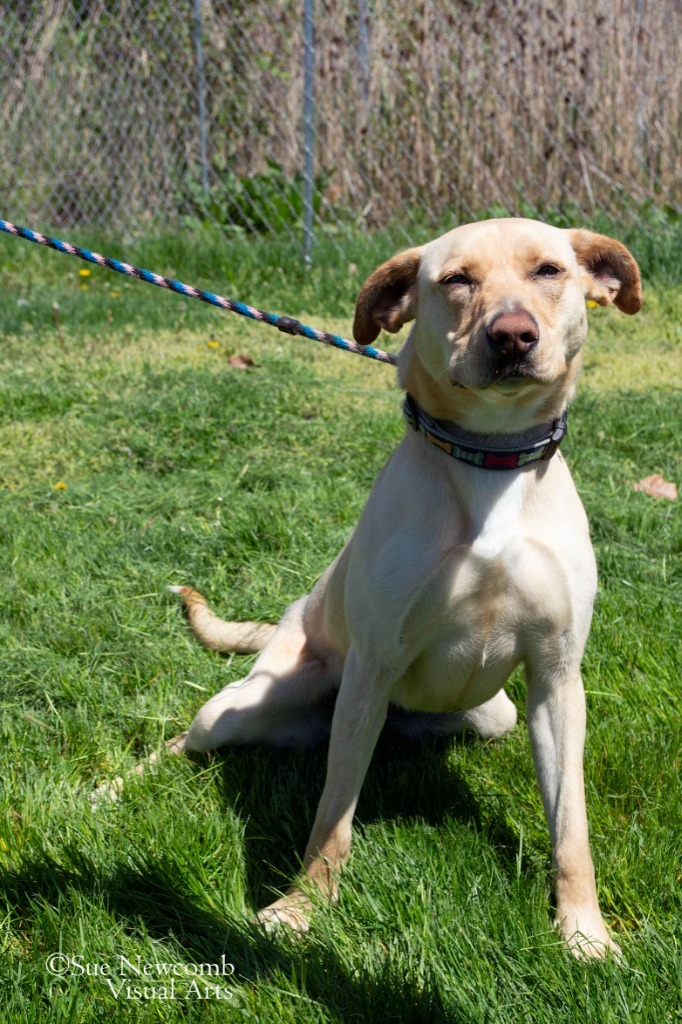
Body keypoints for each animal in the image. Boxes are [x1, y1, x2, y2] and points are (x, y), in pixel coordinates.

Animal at [169, 218, 638, 958]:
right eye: (457, 280)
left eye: (549, 270)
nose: (512, 336)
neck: (491, 462)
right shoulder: (372, 667)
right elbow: (331, 820)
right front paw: (300, 911)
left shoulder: (557, 675)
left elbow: (571, 828)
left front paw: (584, 932)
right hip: (241, 709)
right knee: (183, 743)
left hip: (493, 715)